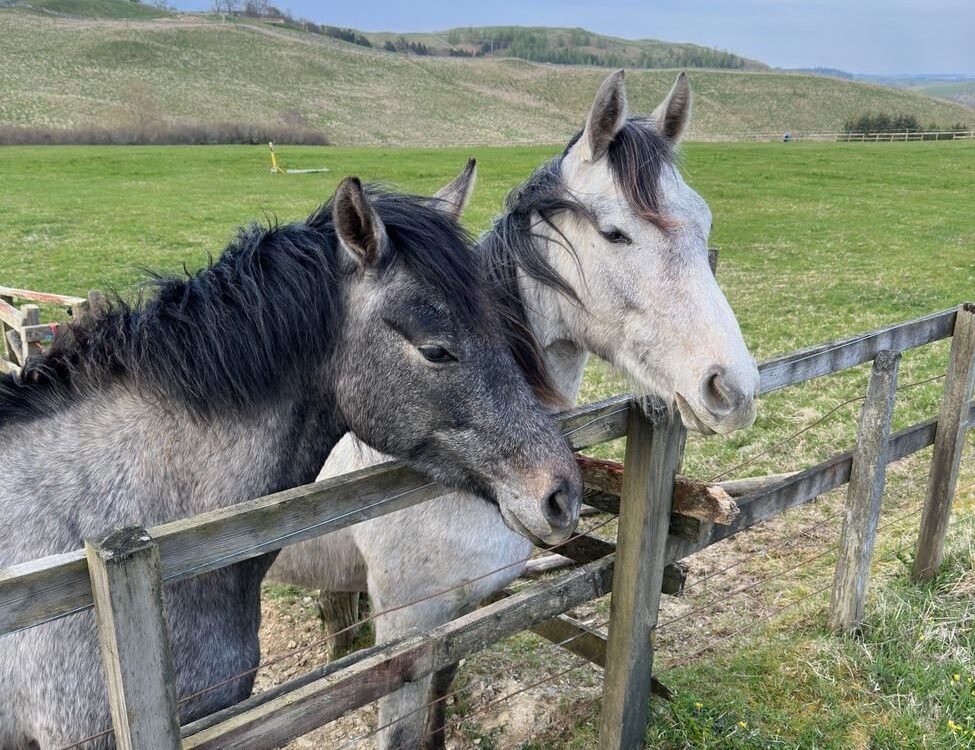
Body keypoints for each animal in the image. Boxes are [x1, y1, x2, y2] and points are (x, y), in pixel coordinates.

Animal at [268, 71, 761, 749]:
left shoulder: (461, 620)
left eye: (704, 222)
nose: (732, 389)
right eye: (615, 232)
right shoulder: (407, 633)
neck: (466, 478)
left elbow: (438, 712)